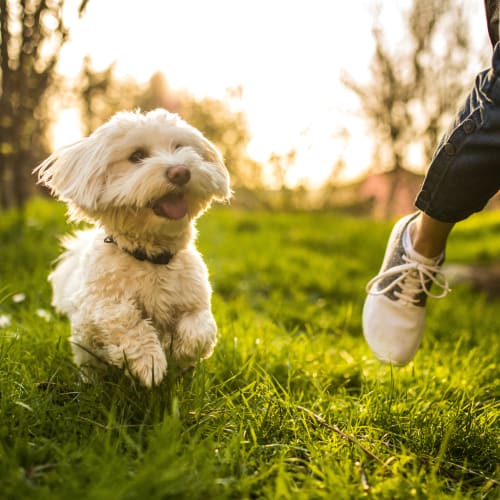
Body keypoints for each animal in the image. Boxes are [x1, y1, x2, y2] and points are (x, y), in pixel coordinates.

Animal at [36, 107, 231, 384]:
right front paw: (150, 361)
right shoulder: (93, 306)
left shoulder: (196, 299)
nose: (180, 171)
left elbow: (201, 326)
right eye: (137, 156)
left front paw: (180, 348)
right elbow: (124, 319)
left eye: (180, 147)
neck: (152, 257)